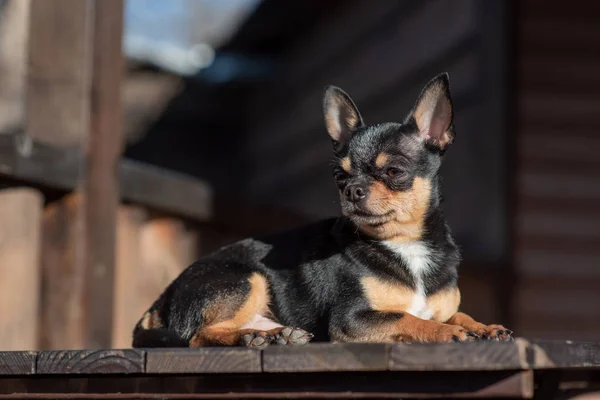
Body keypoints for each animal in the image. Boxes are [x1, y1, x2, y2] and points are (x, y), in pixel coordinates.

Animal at [134, 73, 512, 348]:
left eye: (394, 171)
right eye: (339, 177)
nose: (352, 189)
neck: (404, 244)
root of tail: (161, 300)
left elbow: (457, 314)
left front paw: (484, 326)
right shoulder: (351, 318)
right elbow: (408, 318)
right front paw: (446, 333)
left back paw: (277, 335)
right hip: (245, 279)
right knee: (198, 336)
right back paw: (253, 338)